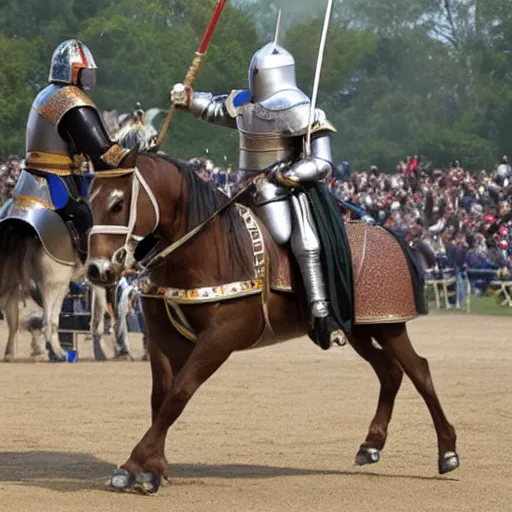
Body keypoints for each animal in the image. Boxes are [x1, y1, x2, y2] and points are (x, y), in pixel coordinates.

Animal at [86, 153, 458, 496]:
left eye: (118, 204)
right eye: (89, 201)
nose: (96, 269)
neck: (207, 250)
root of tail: (390, 234)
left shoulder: (220, 338)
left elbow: (179, 393)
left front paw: (133, 465)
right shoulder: (163, 336)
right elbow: (160, 397)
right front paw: (152, 469)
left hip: (388, 325)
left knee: (419, 370)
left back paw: (448, 451)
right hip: (360, 329)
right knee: (390, 371)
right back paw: (371, 445)